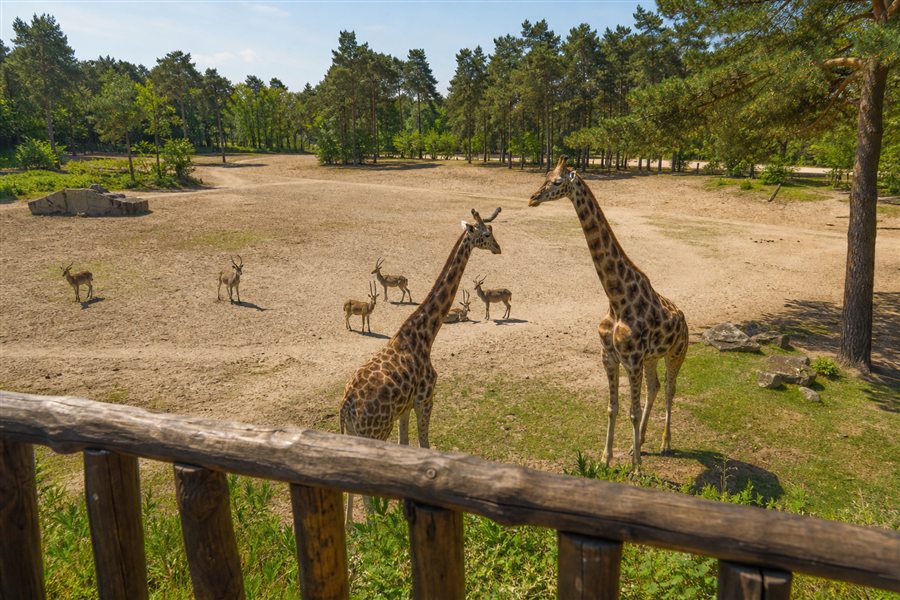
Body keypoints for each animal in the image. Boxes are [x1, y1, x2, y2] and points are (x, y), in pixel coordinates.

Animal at [340, 207, 502, 523]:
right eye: (485, 234)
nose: (499, 249)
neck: (424, 334)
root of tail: (346, 407)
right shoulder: (425, 398)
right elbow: (425, 445)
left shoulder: (404, 408)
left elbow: (406, 447)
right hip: (374, 432)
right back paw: (374, 527)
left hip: (353, 434)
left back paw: (353, 527)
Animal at [528, 156, 688, 472]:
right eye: (545, 176)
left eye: (557, 181)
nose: (532, 198)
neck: (616, 299)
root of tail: (685, 318)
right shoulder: (610, 357)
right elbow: (613, 407)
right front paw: (606, 457)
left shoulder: (632, 358)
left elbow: (632, 410)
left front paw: (637, 468)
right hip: (652, 358)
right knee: (654, 387)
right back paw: (638, 443)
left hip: (676, 354)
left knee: (669, 390)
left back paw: (665, 444)